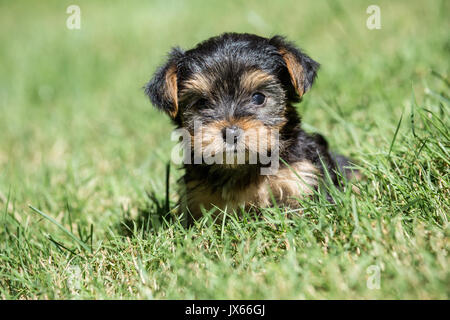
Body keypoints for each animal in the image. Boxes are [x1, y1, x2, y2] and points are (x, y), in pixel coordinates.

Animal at [146, 33, 356, 222]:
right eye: (202, 103)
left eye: (258, 97)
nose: (231, 133)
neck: (243, 167)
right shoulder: (197, 198)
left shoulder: (303, 176)